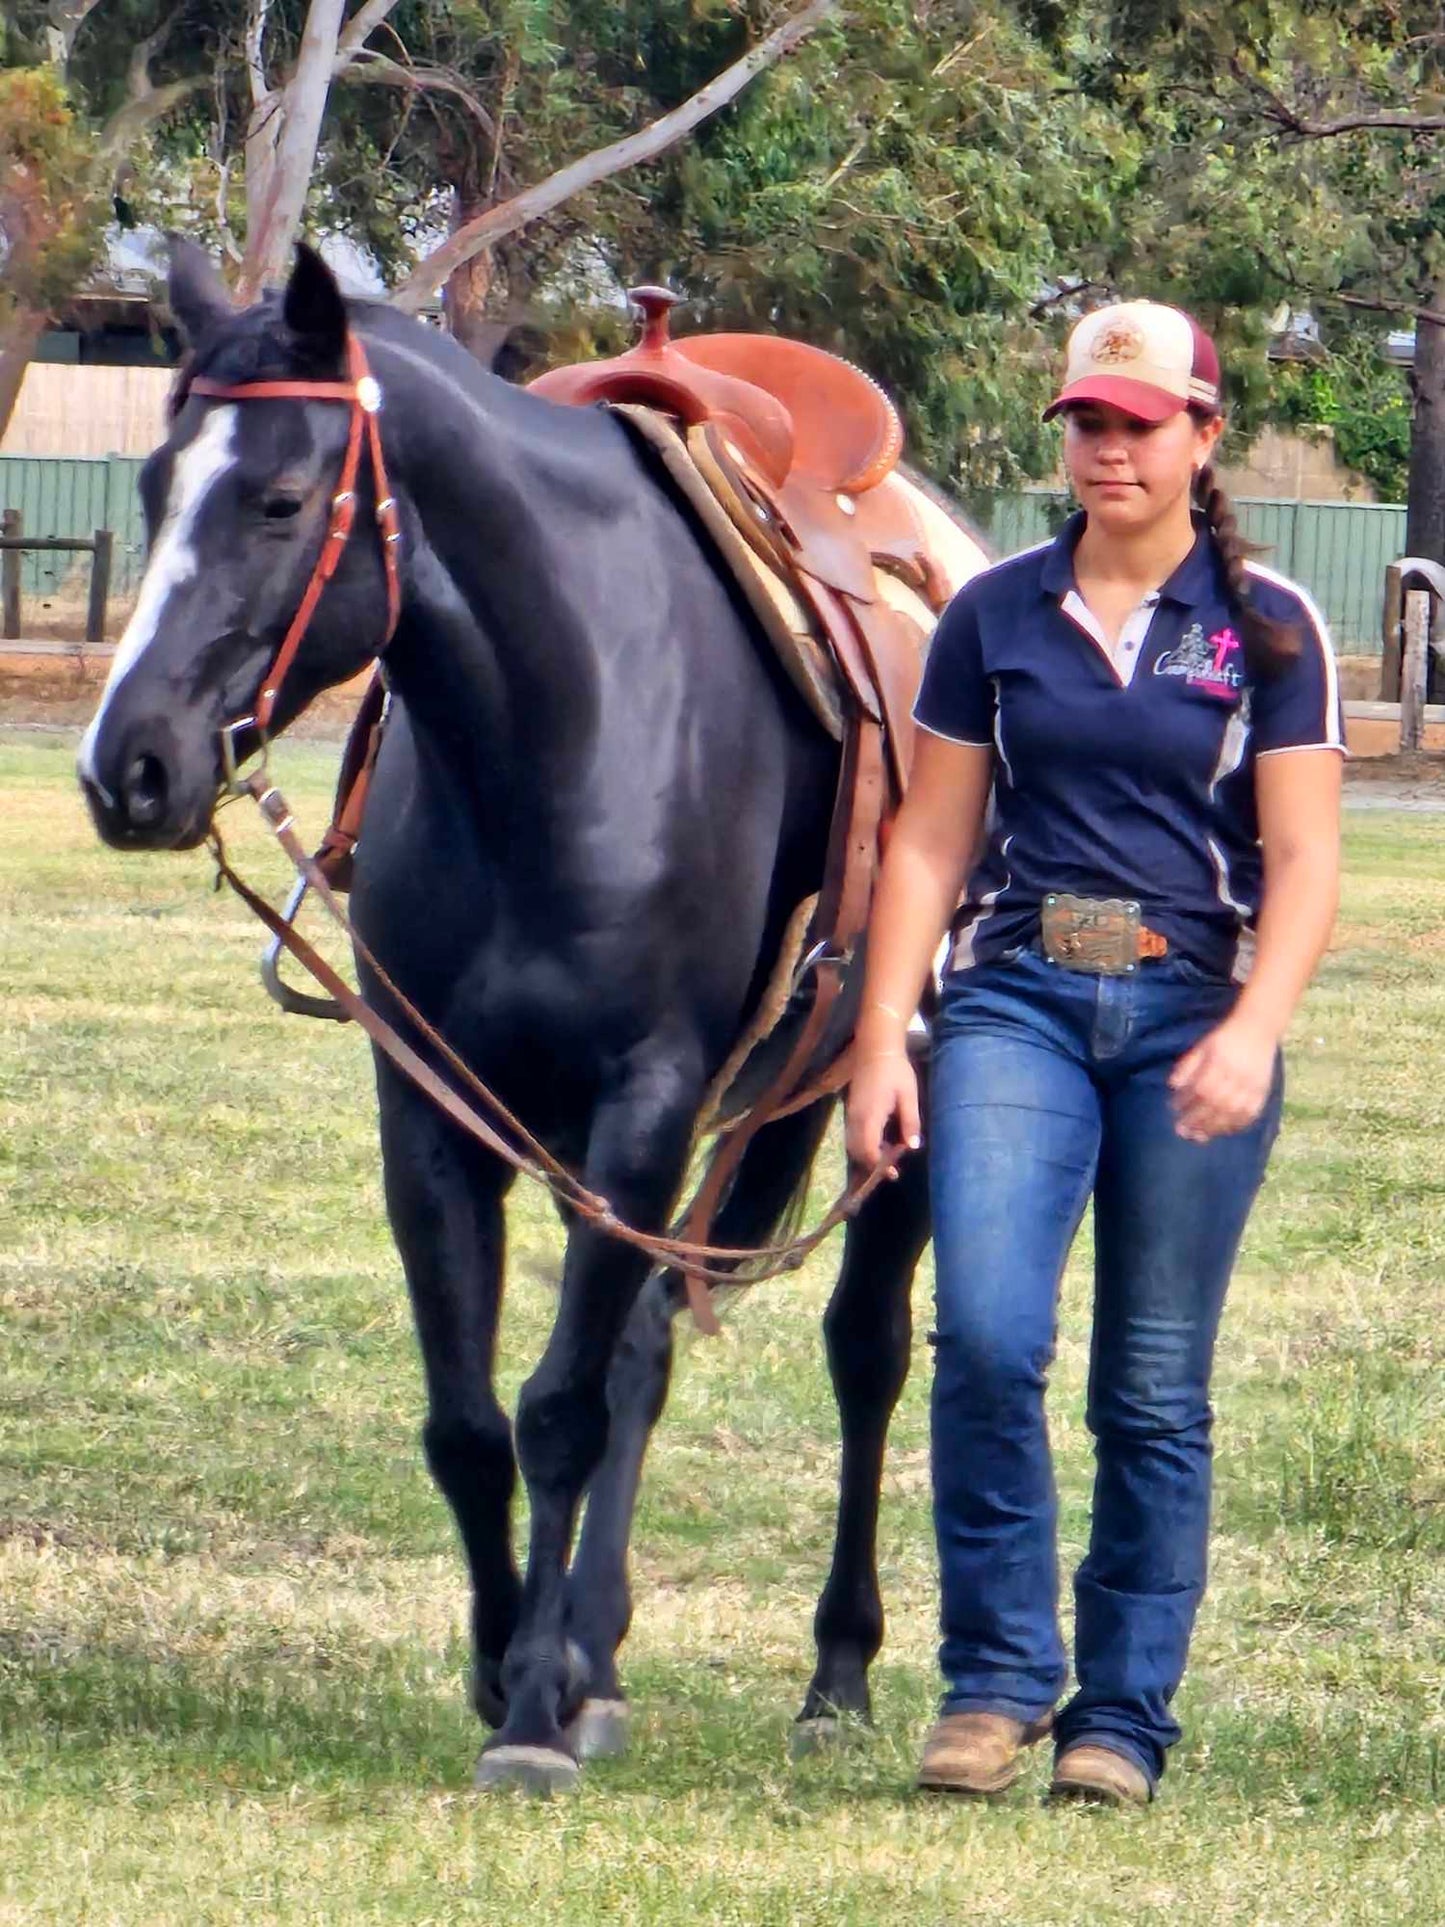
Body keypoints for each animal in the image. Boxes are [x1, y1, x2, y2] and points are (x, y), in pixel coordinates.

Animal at [78, 240, 940, 1788]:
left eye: (279, 499)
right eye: (156, 487)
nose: (130, 766)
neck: (562, 720)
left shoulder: (641, 1103)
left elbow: (557, 1410)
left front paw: (534, 1707)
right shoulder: (438, 1113)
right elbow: (474, 1421)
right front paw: (515, 1664)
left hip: (897, 1098)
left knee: (863, 1353)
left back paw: (834, 1672)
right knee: (650, 1344)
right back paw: (602, 1645)